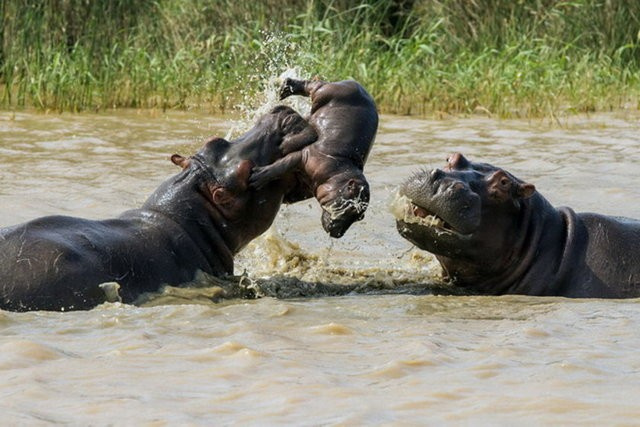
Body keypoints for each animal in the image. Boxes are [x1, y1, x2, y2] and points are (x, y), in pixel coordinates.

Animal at [249, 77, 380, 237]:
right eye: (351, 207)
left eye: (360, 217)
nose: (339, 234)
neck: (339, 173)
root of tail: (354, 82)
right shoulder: (304, 156)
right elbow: (281, 165)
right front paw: (256, 177)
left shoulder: (307, 184)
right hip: (323, 92)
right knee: (313, 84)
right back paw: (286, 88)